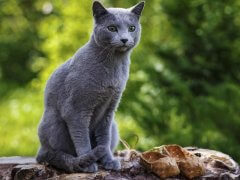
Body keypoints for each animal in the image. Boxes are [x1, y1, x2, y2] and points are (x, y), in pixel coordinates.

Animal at [35, 1, 144, 173]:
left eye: (132, 28)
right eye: (112, 28)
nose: (124, 39)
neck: (114, 66)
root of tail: (40, 149)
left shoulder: (109, 109)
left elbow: (104, 139)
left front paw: (108, 161)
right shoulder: (76, 110)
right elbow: (82, 138)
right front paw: (88, 164)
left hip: (114, 126)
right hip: (54, 122)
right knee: (51, 155)